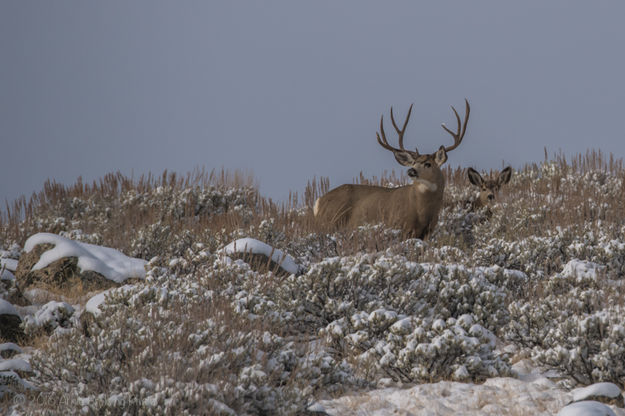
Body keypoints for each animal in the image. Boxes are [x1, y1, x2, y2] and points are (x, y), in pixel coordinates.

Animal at [312, 98, 468, 239]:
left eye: (428, 164)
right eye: (413, 163)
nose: (411, 171)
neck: (422, 211)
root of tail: (319, 201)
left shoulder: (428, 231)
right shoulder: (399, 225)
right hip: (330, 222)